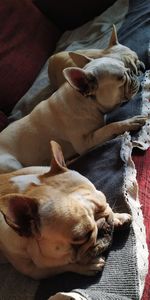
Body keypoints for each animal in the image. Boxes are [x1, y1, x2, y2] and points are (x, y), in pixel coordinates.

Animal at [0, 142, 131, 280]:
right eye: (82, 237)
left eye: (105, 201)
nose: (105, 225)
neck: (29, 190)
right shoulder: (33, 270)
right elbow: (62, 266)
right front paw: (88, 265)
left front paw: (118, 217)